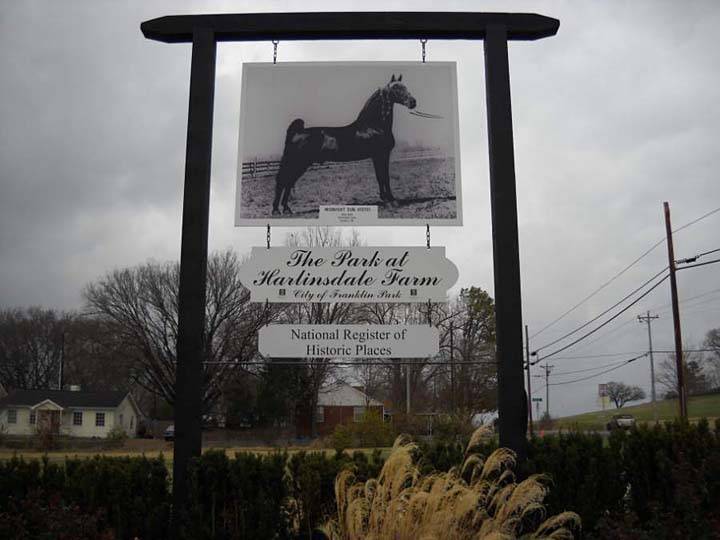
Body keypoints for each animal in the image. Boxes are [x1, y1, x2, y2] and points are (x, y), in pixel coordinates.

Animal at [270, 73, 416, 215]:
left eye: (404, 86)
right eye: (396, 88)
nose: (413, 102)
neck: (374, 125)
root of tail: (296, 132)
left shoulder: (381, 156)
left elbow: (383, 177)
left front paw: (388, 199)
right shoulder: (379, 155)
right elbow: (383, 177)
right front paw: (390, 200)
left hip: (299, 164)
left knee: (288, 182)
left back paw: (286, 209)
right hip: (297, 163)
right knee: (283, 181)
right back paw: (276, 210)